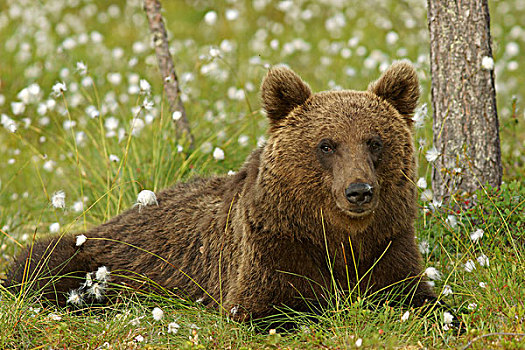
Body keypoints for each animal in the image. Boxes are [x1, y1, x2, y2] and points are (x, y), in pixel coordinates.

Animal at [7, 62, 434, 320]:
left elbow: (415, 295)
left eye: (374, 141)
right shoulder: (272, 245)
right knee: (38, 262)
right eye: (327, 145)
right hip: (97, 257)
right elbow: (268, 306)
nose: (358, 191)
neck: (337, 236)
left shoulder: (389, 241)